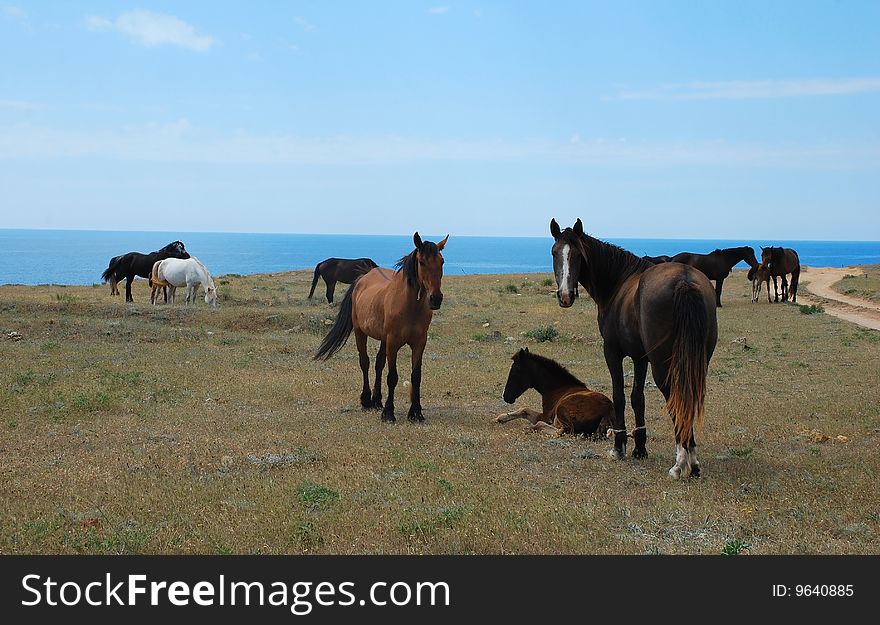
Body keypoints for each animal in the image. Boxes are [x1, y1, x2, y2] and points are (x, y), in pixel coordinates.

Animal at [314, 232, 450, 422]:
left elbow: (416, 376)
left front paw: (416, 413)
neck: (409, 306)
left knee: (378, 364)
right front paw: (389, 413)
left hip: (383, 340)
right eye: (422, 262)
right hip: (361, 333)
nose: (435, 299)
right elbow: (392, 376)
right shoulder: (393, 342)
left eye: (442, 261)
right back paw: (366, 400)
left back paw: (377, 400)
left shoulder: (419, 343)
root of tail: (364, 277)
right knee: (365, 362)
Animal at [552, 219, 720, 478]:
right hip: (696, 363)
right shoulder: (641, 357)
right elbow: (637, 398)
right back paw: (692, 462)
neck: (619, 284)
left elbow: (619, 396)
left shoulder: (613, 352)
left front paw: (619, 447)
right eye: (554, 253)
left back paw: (682, 463)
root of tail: (685, 280)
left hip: (664, 366)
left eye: (578, 255)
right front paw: (640, 448)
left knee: (675, 399)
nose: (565, 295)